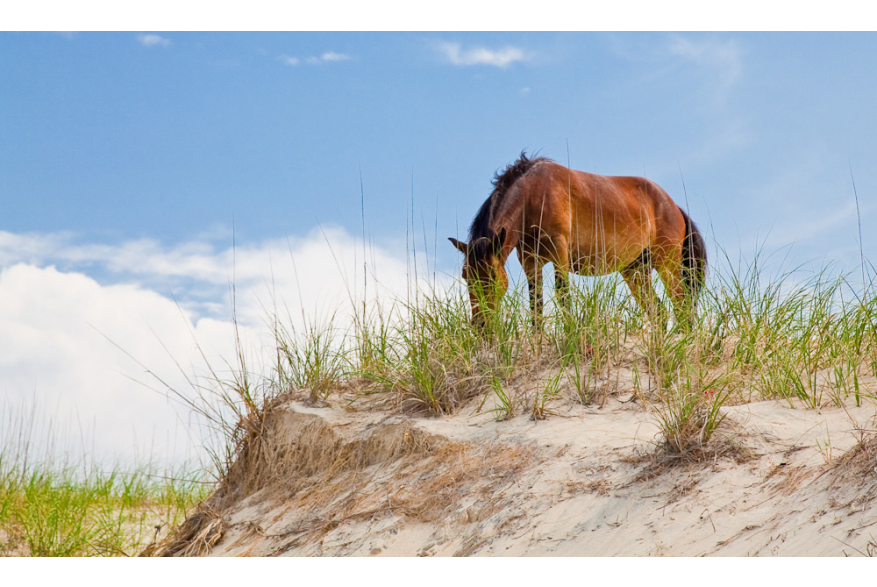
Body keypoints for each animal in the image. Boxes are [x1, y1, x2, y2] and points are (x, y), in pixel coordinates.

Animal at [449, 153, 707, 329]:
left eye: (492, 277)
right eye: (465, 275)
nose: (480, 325)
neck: (533, 195)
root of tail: (673, 206)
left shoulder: (559, 252)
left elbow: (563, 296)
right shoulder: (531, 262)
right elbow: (536, 306)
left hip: (667, 266)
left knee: (682, 306)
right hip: (636, 270)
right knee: (659, 312)